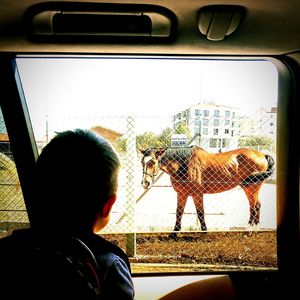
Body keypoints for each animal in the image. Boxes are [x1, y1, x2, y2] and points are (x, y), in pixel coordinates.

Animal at [138, 146, 274, 233]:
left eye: (153, 161)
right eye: (142, 162)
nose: (145, 183)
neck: (184, 164)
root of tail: (262, 155)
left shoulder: (197, 194)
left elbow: (200, 213)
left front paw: (204, 231)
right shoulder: (182, 193)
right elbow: (179, 212)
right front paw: (174, 233)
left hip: (252, 187)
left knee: (254, 206)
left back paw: (251, 228)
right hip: (249, 187)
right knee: (255, 206)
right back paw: (253, 227)